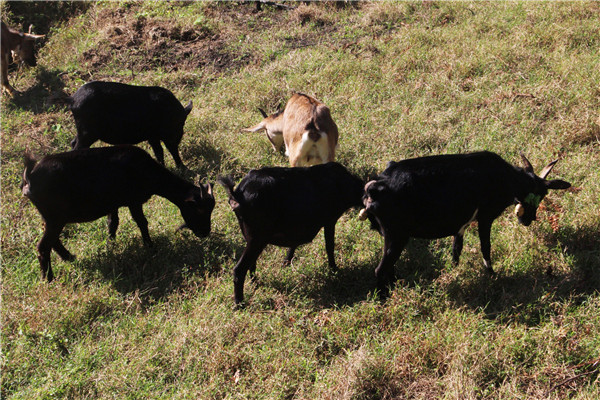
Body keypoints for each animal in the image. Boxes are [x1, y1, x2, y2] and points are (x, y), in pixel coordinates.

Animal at [21, 146, 216, 282]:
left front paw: (111, 243)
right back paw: (49, 279)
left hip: (51, 217)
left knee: (52, 241)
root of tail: (30, 177)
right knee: (43, 246)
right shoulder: (133, 201)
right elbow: (142, 222)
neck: (147, 171)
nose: (205, 232)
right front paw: (150, 246)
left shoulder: (113, 204)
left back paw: (69, 258)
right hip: (55, 217)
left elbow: (113, 223)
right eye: (199, 209)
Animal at [218, 161, 364, 304]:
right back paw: (240, 303)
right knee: (240, 269)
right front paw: (335, 270)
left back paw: (256, 284)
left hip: (251, 237)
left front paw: (286, 264)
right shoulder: (330, 220)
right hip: (257, 237)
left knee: (251, 263)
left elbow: (293, 245)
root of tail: (237, 194)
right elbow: (330, 246)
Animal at [358, 152, 576, 296]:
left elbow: (457, 248)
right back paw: (384, 297)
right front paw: (492, 275)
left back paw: (397, 285)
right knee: (380, 269)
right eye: (542, 194)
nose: (528, 220)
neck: (507, 178)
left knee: (389, 267)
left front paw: (454, 270)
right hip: (397, 235)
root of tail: (375, 187)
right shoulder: (486, 217)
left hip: (391, 236)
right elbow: (485, 247)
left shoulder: (461, 224)